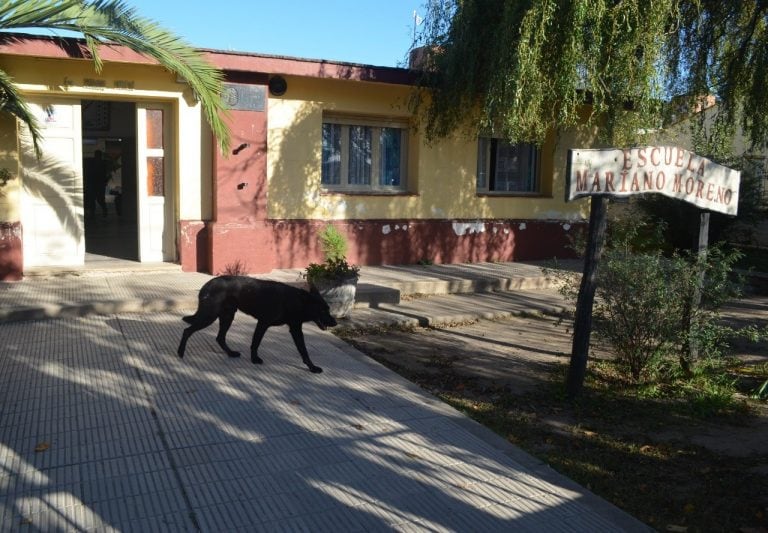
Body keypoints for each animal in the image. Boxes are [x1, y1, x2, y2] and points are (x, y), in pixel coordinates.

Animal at [180, 276, 340, 372]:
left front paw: (312, 367)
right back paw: (180, 353)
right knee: (187, 331)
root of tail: (206, 285)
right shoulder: (263, 322)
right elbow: (255, 343)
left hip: (227, 316)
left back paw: (231, 353)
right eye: (322, 310)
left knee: (220, 338)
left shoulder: (296, 330)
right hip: (210, 316)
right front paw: (254, 359)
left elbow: (304, 351)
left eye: (328, 309)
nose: (335, 322)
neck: (295, 301)